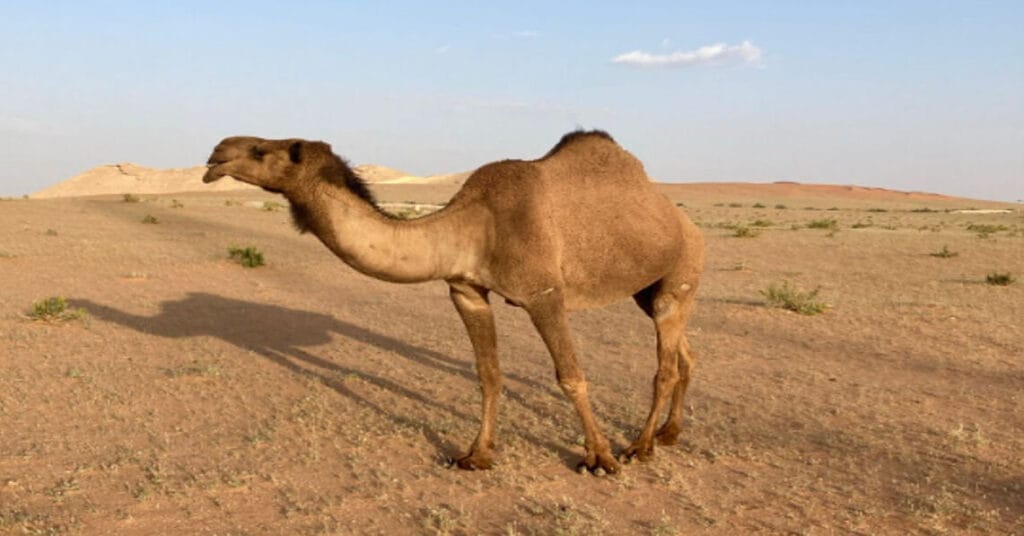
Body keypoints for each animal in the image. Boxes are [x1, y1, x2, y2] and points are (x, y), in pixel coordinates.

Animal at [202, 130, 705, 474]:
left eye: (260, 150)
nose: (215, 154)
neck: (473, 225)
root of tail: (684, 221)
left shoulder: (544, 294)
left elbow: (571, 377)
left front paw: (599, 458)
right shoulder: (466, 291)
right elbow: (488, 375)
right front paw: (476, 455)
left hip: (680, 276)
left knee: (664, 365)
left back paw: (639, 447)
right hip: (649, 290)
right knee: (685, 354)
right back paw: (670, 433)